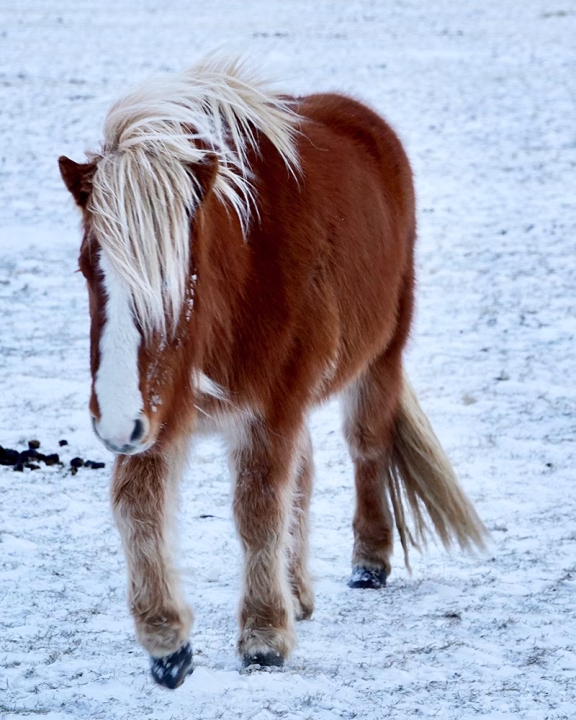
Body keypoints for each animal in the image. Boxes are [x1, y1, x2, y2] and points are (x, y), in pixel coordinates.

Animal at [59, 56, 487, 689]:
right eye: (88, 266)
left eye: (181, 276)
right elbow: (137, 506)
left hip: (380, 357)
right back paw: (298, 592)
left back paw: (368, 564)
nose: (114, 424)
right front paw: (168, 644)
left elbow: (258, 508)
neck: (240, 283)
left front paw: (264, 638)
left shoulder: (269, 407)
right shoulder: (161, 411)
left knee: (365, 447)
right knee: (304, 474)